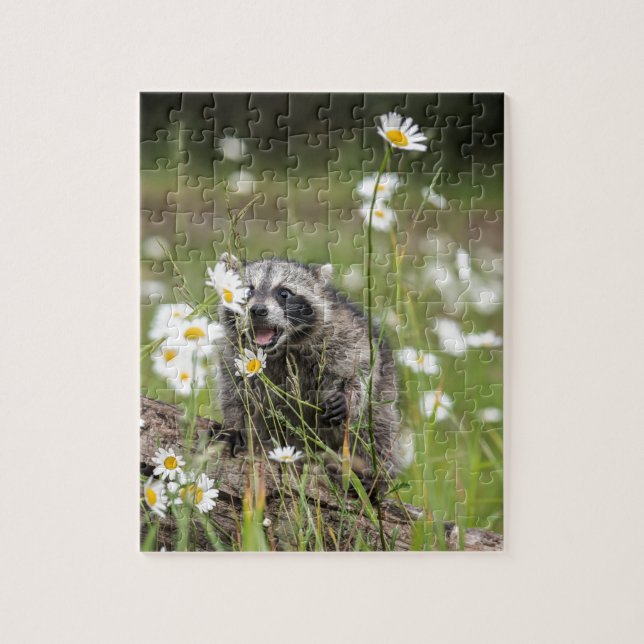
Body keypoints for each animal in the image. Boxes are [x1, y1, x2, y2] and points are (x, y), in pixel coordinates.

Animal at [216, 255, 405, 488]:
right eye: (248, 291)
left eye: (284, 293)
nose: (257, 310)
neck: (281, 348)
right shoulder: (234, 354)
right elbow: (235, 392)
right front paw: (235, 423)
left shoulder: (343, 334)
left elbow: (358, 369)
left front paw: (347, 394)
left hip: (382, 403)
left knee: (374, 430)